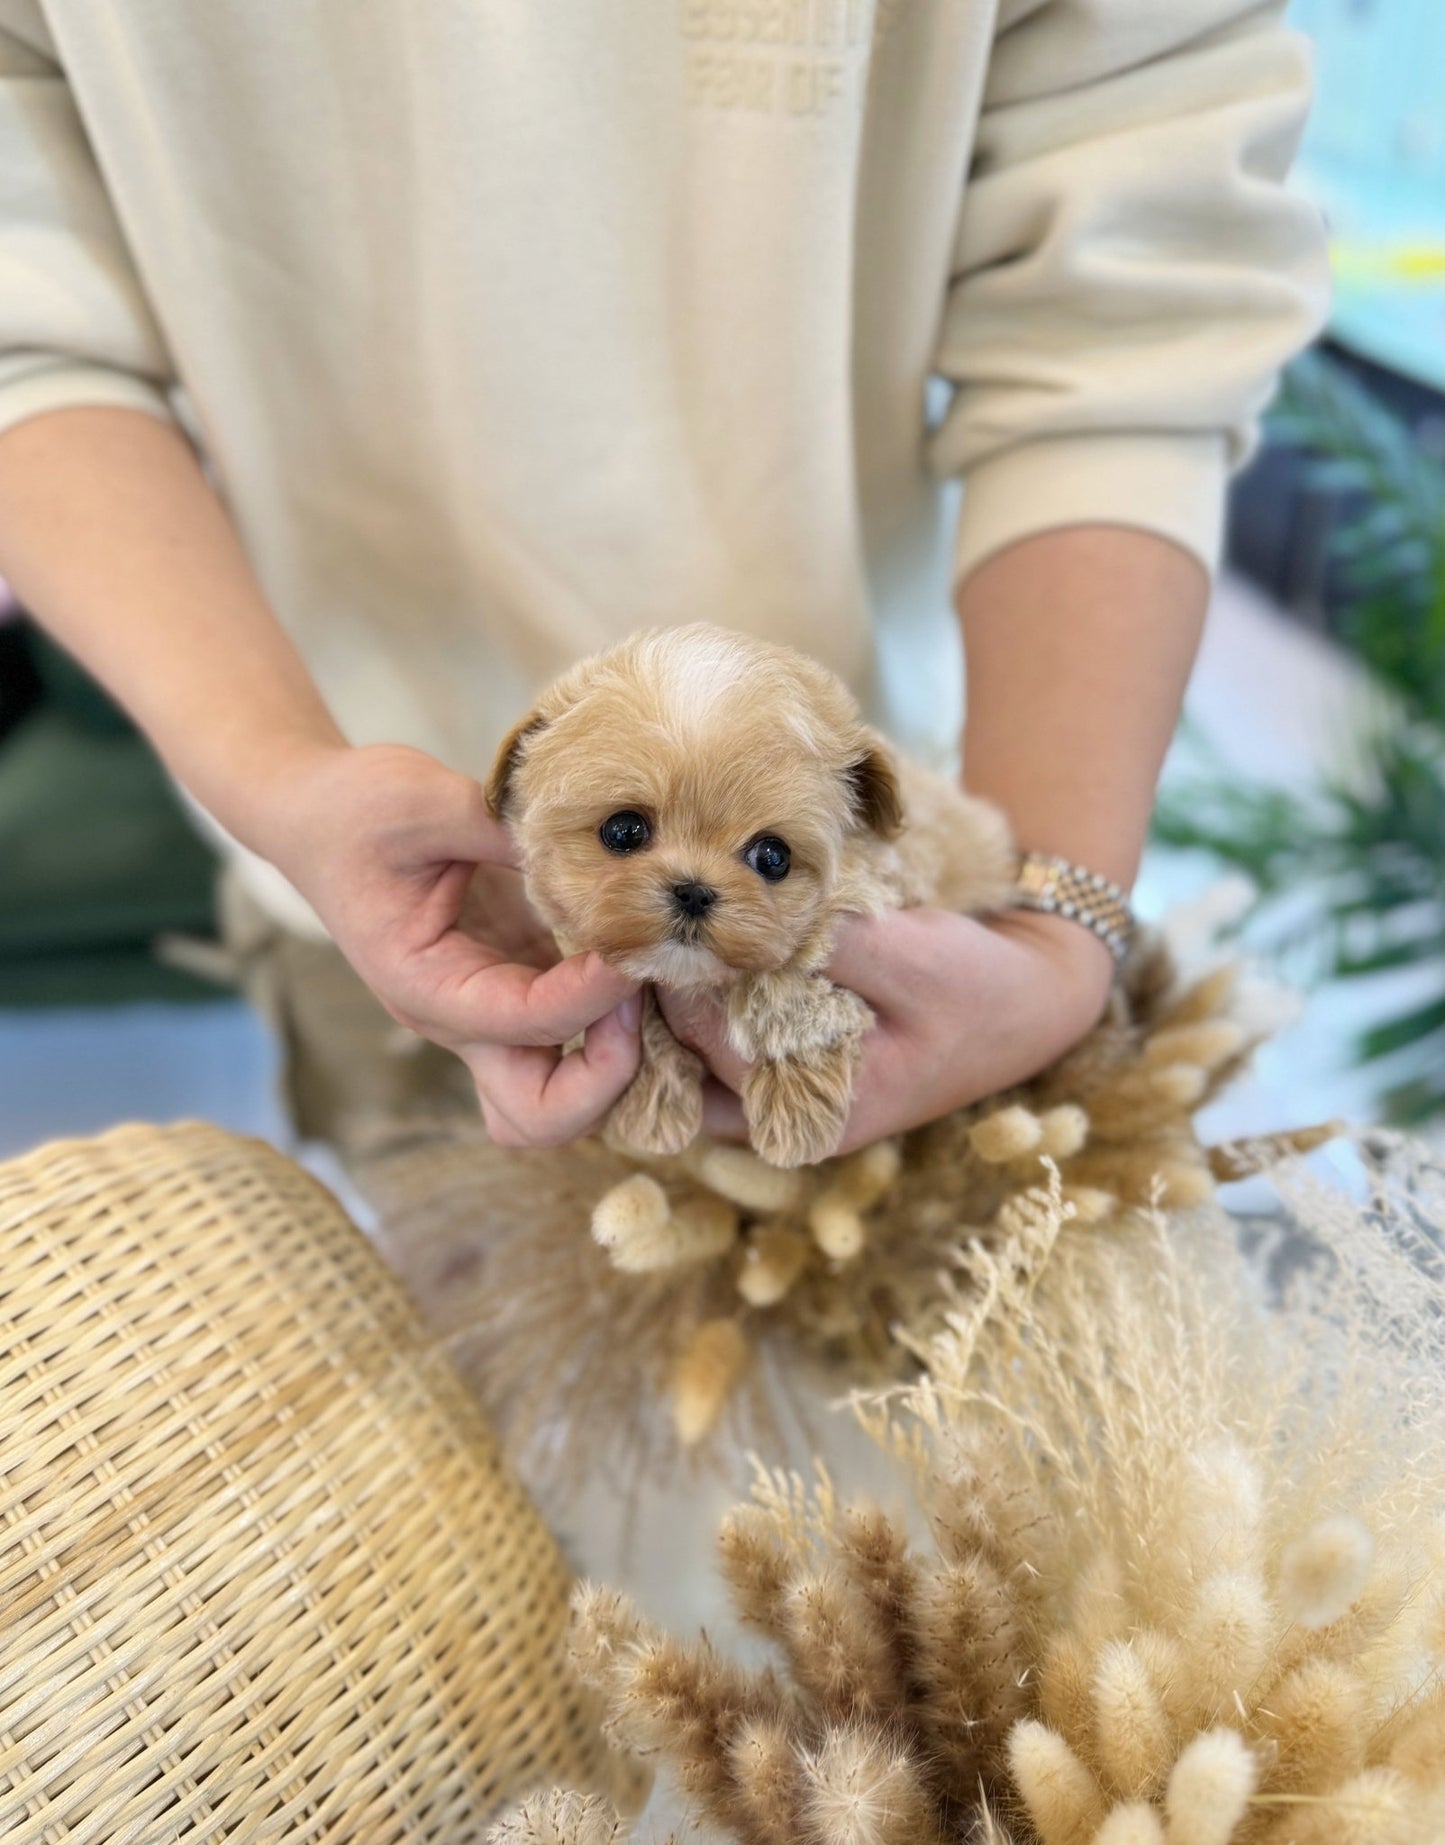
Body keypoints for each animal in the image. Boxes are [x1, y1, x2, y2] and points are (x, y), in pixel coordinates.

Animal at [487, 627, 1018, 1158]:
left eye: (772, 857)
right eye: (623, 831)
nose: (694, 892)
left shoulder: (868, 894)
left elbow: (790, 991)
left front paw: (796, 1112)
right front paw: (650, 1109)